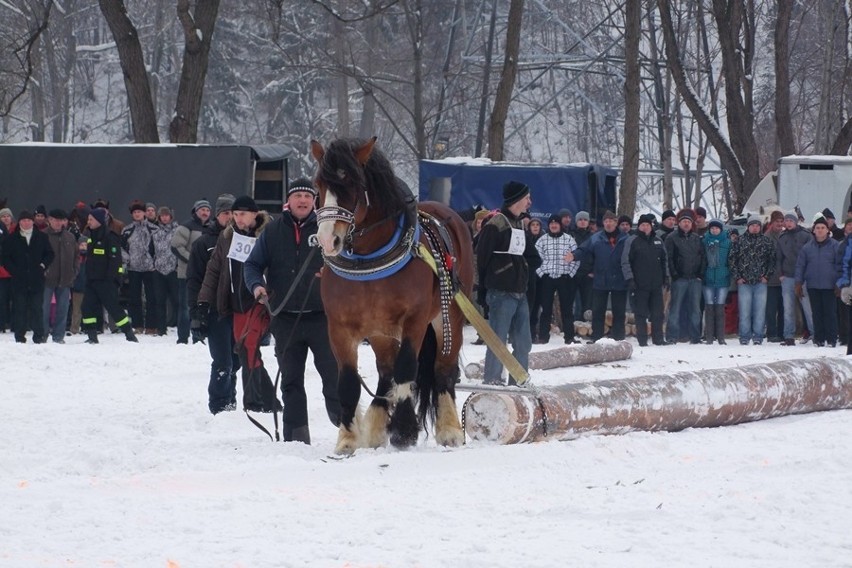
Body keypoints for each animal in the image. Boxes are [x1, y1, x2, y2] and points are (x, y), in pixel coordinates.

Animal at [312, 135, 476, 454]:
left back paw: (449, 429)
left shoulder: (414, 320)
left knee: (442, 369)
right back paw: (376, 428)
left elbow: (406, 368)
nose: (327, 240)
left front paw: (404, 430)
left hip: (449, 316)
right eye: (319, 185)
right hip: (379, 331)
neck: (368, 259)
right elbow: (348, 381)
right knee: (385, 371)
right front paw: (347, 439)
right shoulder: (339, 327)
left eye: (351, 184)